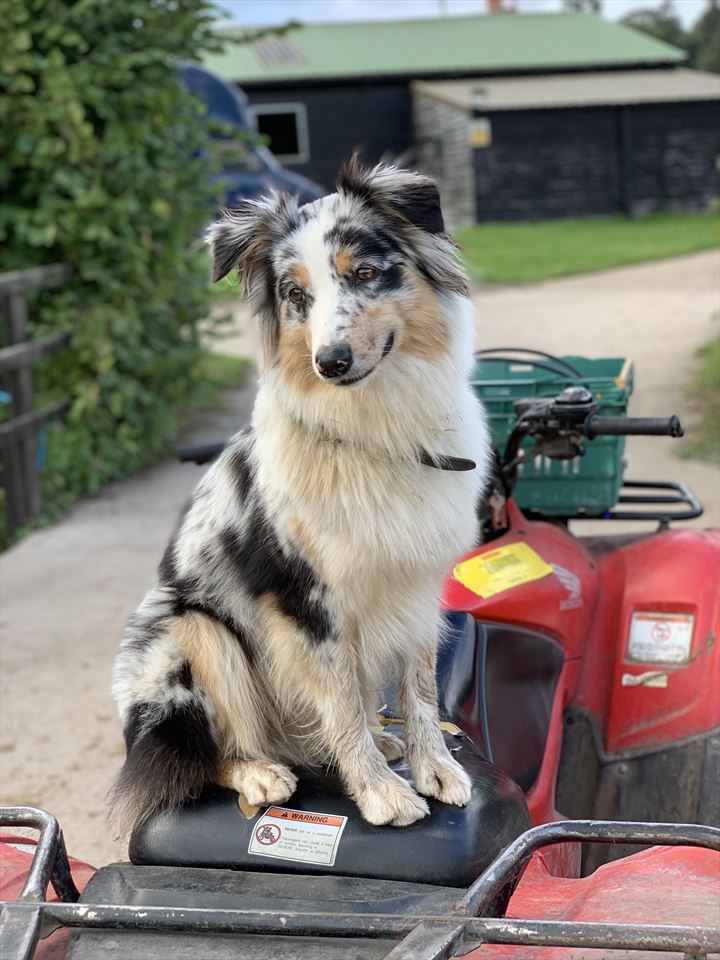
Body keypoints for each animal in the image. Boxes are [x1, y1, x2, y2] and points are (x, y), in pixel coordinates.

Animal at [111, 160, 491, 833]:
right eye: (295, 295)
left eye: (363, 273)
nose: (329, 362)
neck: (377, 428)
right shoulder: (305, 599)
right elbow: (339, 699)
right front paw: (380, 793)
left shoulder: (417, 584)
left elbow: (419, 688)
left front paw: (435, 768)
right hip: (192, 632)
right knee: (197, 756)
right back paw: (259, 771)